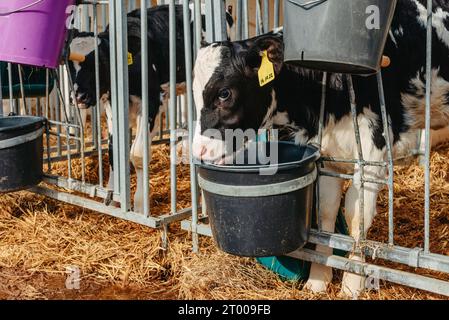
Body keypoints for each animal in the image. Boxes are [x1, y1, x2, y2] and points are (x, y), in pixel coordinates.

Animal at [68, 5, 233, 212]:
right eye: (68, 63)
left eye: (100, 61)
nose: (79, 96)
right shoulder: (113, 106)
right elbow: (114, 151)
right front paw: (113, 197)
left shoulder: (153, 102)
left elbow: (137, 154)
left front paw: (140, 205)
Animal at [191, 0, 448, 296]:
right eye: (194, 94)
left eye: (224, 93)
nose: (198, 152)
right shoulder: (324, 154)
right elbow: (325, 213)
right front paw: (318, 278)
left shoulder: (374, 149)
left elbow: (357, 219)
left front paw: (352, 283)